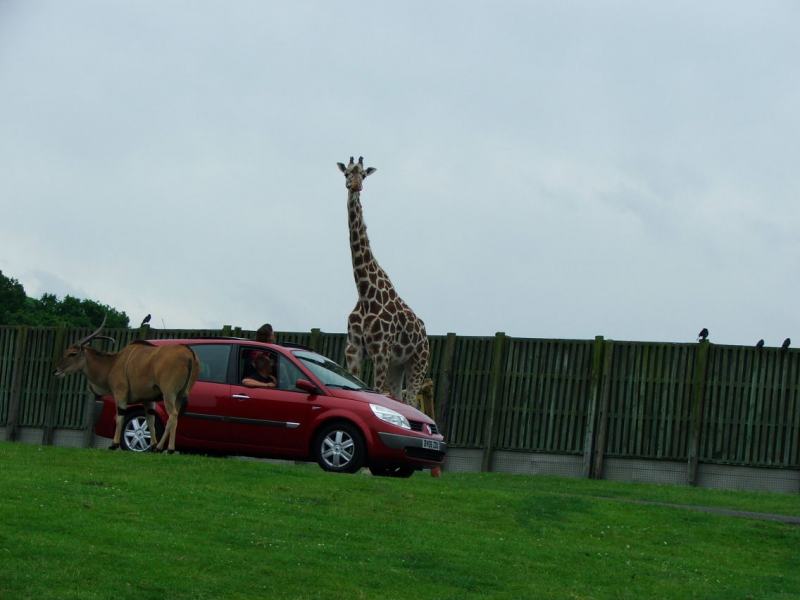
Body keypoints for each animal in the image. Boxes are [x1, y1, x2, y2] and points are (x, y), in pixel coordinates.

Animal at [52, 316, 198, 452]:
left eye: (72, 353)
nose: (56, 371)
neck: (113, 363)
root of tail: (188, 354)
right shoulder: (148, 400)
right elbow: (150, 419)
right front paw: (152, 445)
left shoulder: (120, 392)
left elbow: (120, 416)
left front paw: (114, 444)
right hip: (180, 395)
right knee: (174, 416)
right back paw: (159, 447)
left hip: (169, 394)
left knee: (173, 416)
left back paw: (168, 448)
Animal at [338, 156, 432, 408]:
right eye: (346, 173)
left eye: (363, 174)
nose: (355, 186)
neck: (363, 291)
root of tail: (425, 335)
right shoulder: (354, 349)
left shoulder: (380, 350)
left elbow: (377, 391)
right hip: (396, 365)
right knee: (399, 396)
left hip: (417, 361)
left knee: (411, 400)